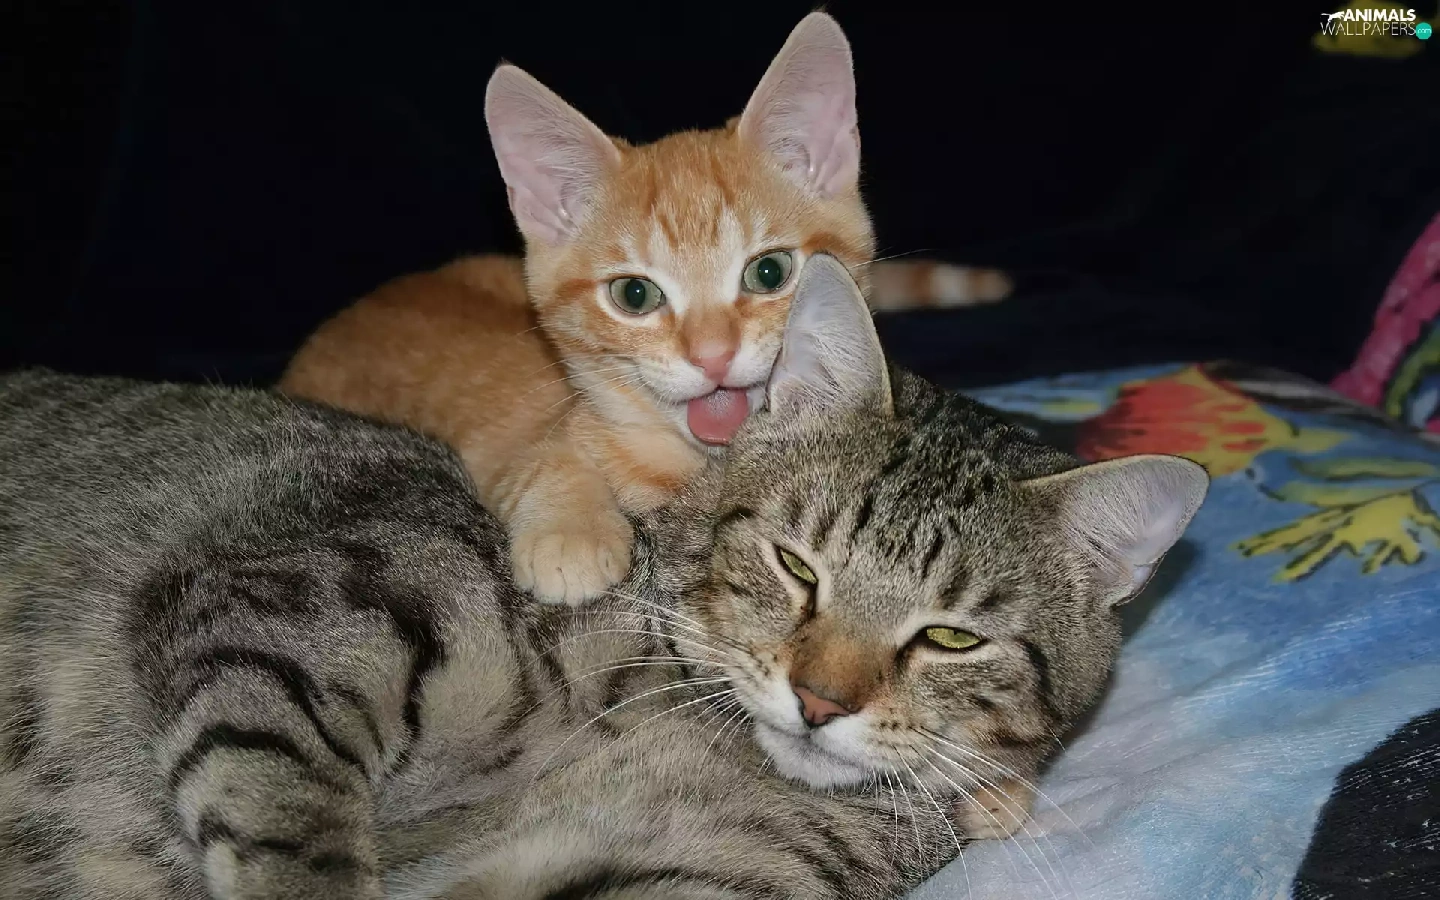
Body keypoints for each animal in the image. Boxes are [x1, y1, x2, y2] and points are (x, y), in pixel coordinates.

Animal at [0, 254, 1207, 899]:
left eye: (951, 636)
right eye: (795, 565)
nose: (819, 702)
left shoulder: (683, 878)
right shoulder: (303, 608)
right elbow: (299, 835)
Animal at [279, 12, 1014, 607]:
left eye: (769, 272)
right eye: (635, 295)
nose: (713, 356)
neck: (699, 466)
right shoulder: (511, 436)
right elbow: (539, 456)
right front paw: (571, 531)